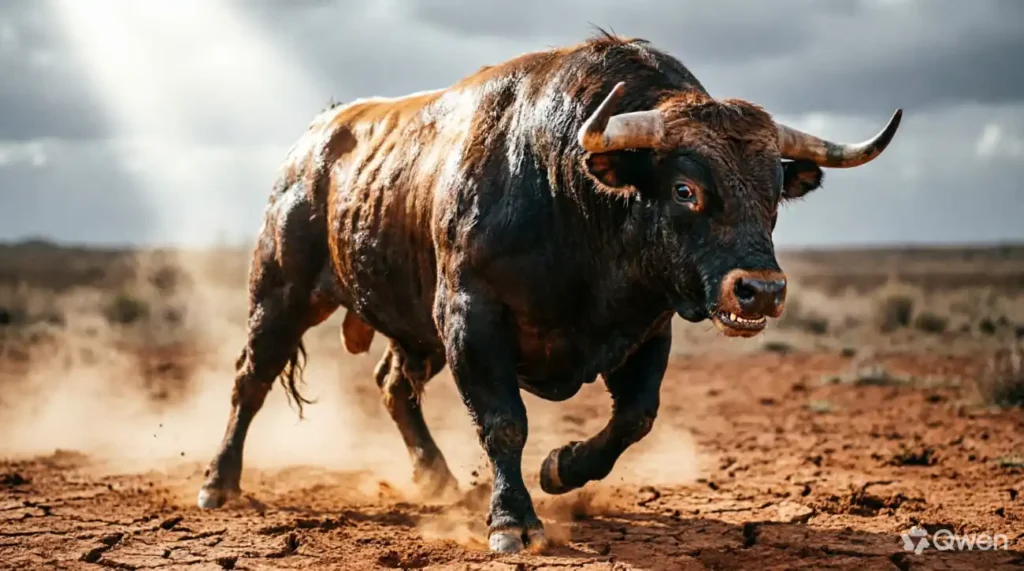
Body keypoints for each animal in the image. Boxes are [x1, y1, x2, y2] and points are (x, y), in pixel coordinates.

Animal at [196, 31, 901, 553]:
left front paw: (562, 467)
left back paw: (437, 479)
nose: (760, 290)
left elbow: (634, 418)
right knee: (250, 379)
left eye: (774, 193)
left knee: (394, 386)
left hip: (413, 325)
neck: (575, 201)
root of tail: (317, 137)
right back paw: (218, 484)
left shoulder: (648, 328)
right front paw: (513, 521)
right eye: (685, 189)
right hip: (283, 291)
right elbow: (505, 422)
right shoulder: (470, 317)